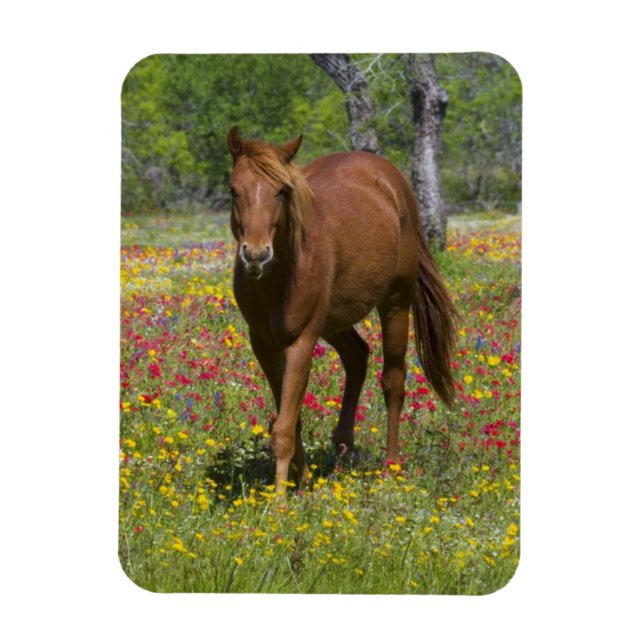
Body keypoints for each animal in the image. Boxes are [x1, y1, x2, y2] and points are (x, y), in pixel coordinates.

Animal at [226, 126, 457, 491]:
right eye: (234, 189)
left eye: (282, 191)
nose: (256, 255)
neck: (280, 275)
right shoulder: (263, 344)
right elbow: (291, 418)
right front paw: (301, 482)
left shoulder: (301, 343)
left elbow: (284, 427)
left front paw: (280, 500)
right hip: (335, 322)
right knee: (357, 356)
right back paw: (343, 442)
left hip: (395, 303)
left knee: (393, 381)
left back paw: (390, 467)